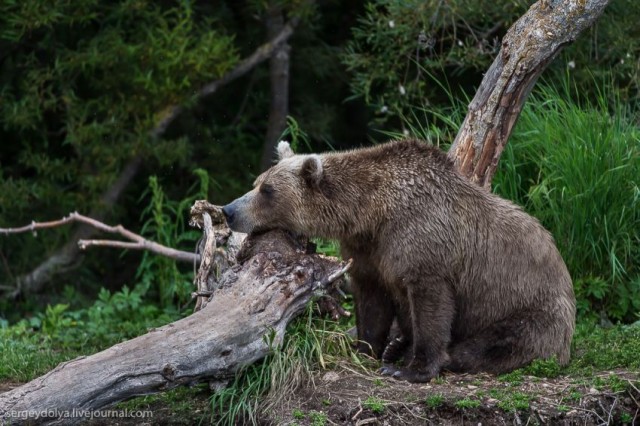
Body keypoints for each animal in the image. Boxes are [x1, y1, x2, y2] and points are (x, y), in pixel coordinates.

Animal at [222, 139, 576, 382]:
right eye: (257, 182)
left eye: (267, 190)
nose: (229, 210)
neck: (370, 213)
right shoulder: (369, 251)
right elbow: (372, 299)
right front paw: (366, 347)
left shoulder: (424, 242)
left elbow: (430, 305)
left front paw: (413, 367)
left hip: (534, 307)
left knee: (503, 341)